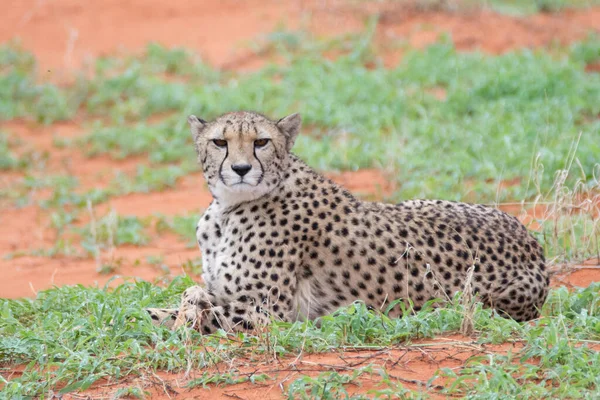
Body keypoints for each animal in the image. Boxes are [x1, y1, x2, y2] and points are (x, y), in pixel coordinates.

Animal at [148, 111, 552, 332]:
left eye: (261, 142)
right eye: (220, 142)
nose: (242, 168)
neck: (227, 210)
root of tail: (534, 247)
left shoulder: (266, 310)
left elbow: (199, 313)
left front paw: (174, 322)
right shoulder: (228, 292)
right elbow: (184, 298)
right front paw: (165, 312)